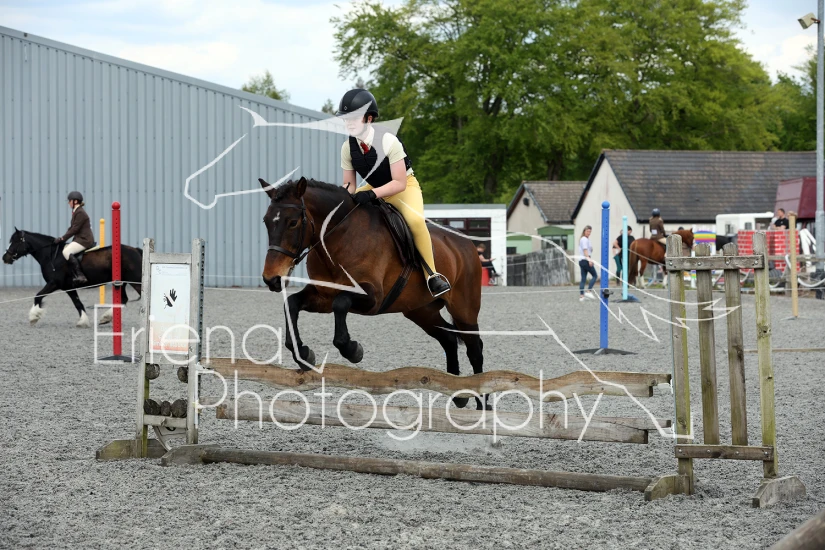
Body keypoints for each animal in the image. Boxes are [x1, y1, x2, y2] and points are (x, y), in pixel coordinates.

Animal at [3, 229, 143, 327]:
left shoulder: (54, 283)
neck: (51, 255)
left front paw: (33, 317)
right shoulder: (68, 287)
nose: (5, 258)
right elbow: (78, 303)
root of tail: (136, 250)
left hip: (136, 281)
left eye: (15, 241)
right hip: (121, 282)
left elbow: (38, 296)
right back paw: (106, 318)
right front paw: (83, 321)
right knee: (123, 299)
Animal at [259, 177, 487, 409]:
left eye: (293, 222)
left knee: (474, 349)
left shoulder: (372, 297)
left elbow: (341, 304)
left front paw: (353, 350)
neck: (339, 238)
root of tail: (465, 241)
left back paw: (483, 406)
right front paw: (304, 353)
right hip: (421, 311)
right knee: (448, 339)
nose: (271, 278)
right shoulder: (323, 296)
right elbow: (292, 304)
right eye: (266, 221)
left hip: (463, 309)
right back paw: (458, 394)